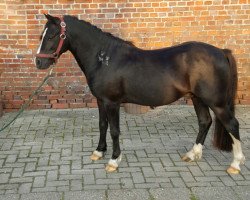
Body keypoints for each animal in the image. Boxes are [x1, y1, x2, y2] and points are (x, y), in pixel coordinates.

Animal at [36, 14, 245, 173]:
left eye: (53, 35)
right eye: (42, 35)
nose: (39, 62)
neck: (104, 58)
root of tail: (221, 51)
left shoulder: (112, 102)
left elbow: (114, 130)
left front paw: (113, 161)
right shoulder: (101, 101)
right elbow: (102, 125)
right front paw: (98, 152)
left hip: (216, 103)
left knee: (232, 125)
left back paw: (235, 165)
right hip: (198, 98)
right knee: (204, 122)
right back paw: (192, 154)